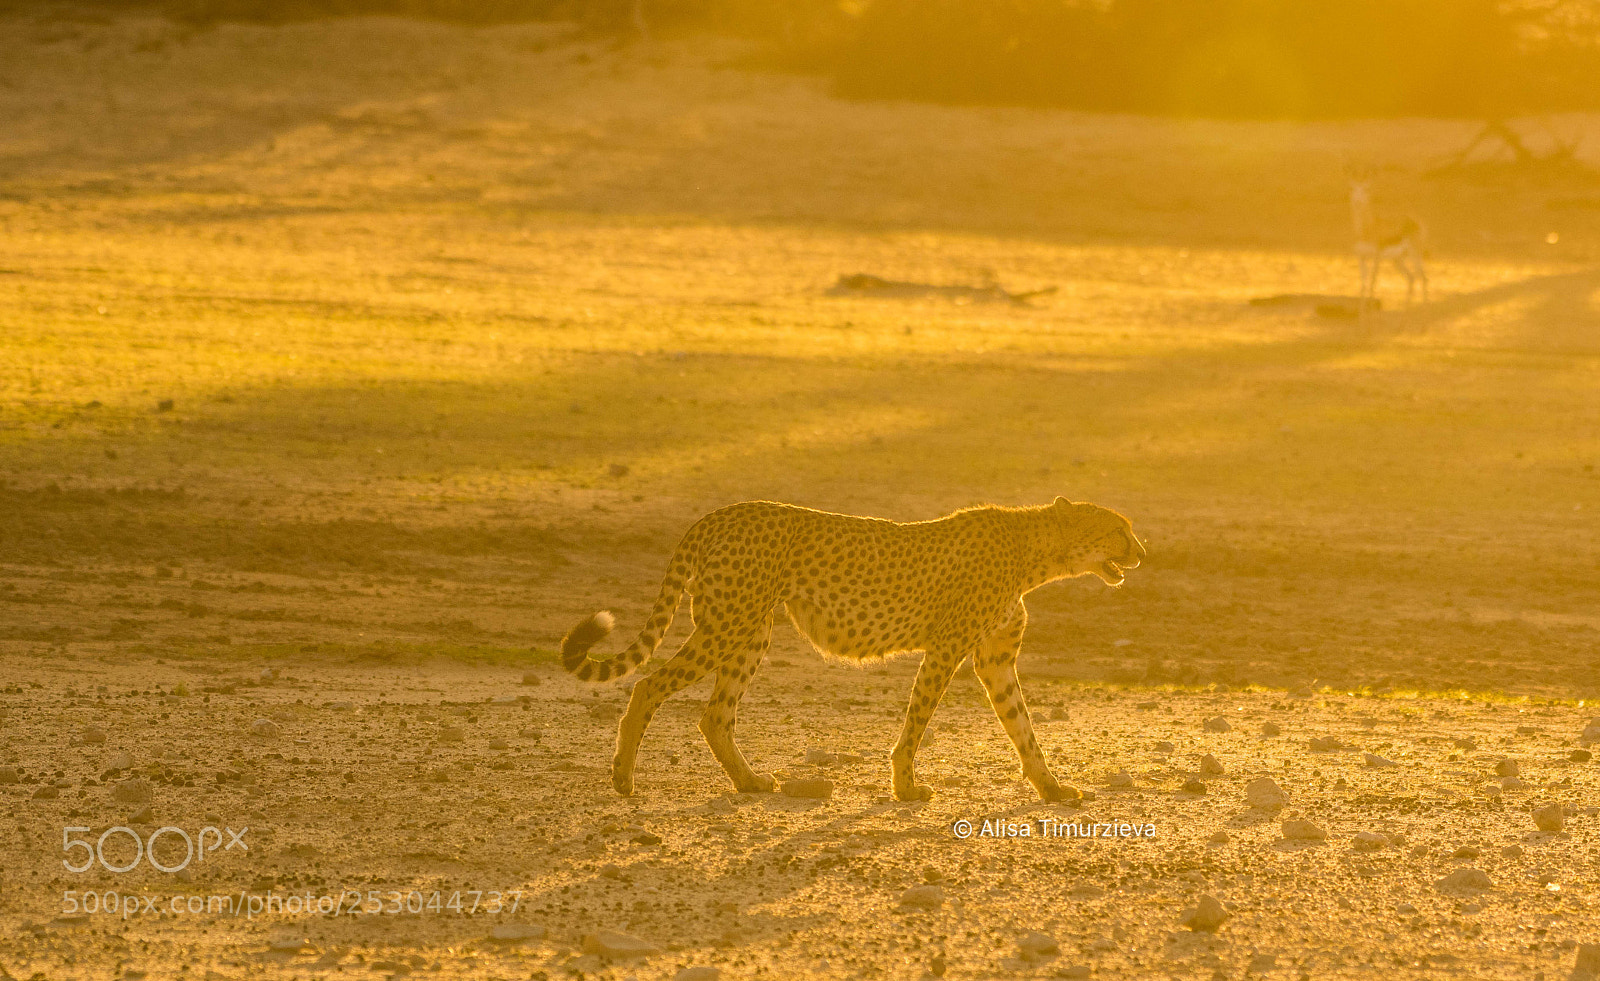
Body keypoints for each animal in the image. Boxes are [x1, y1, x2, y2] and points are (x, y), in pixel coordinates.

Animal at [560, 497, 1143, 802]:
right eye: (1119, 529)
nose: (1143, 552)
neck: (1036, 553)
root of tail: (719, 513)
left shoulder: (995, 659)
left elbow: (1023, 728)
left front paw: (1052, 788)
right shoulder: (947, 648)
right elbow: (918, 719)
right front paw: (906, 785)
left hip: (750, 631)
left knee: (714, 715)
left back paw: (749, 781)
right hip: (727, 624)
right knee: (648, 685)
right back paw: (623, 777)